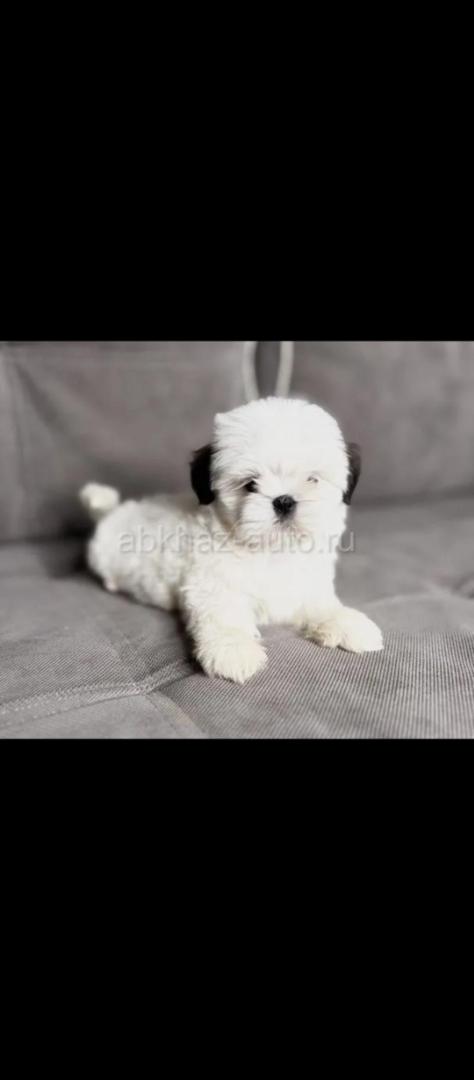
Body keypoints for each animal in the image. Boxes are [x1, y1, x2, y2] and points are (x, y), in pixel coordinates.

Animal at [80, 397, 383, 683]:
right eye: (250, 485)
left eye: (313, 479)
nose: (284, 501)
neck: (272, 552)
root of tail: (111, 513)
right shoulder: (211, 585)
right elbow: (224, 616)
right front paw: (233, 650)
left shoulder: (306, 584)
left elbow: (322, 605)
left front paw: (346, 623)